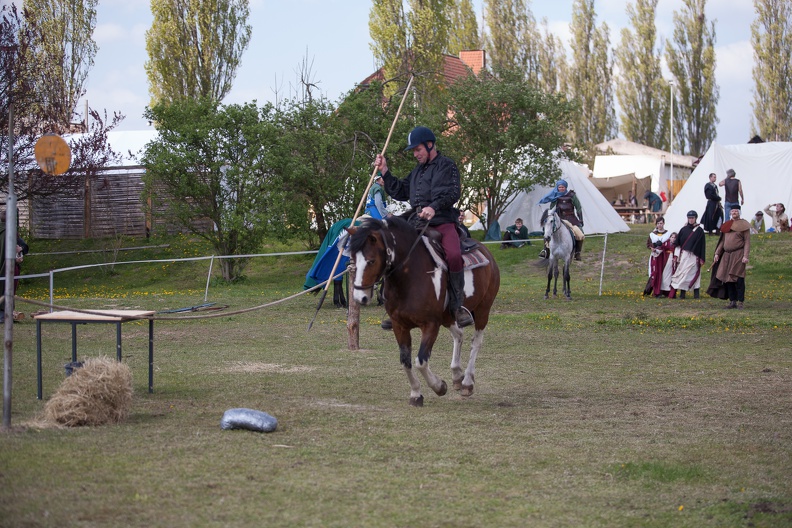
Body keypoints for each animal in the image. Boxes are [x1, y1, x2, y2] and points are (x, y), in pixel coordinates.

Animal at [348, 217, 498, 406]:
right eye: (353, 259)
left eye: (371, 261)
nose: (360, 297)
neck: (410, 277)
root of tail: (486, 251)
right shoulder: (399, 325)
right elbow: (405, 361)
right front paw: (416, 394)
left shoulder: (430, 325)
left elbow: (420, 361)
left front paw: (439, 386)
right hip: (448, 316)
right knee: (459, 334)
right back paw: (457, 375)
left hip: (483, 310)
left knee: (475, 342)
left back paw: (467, 382)